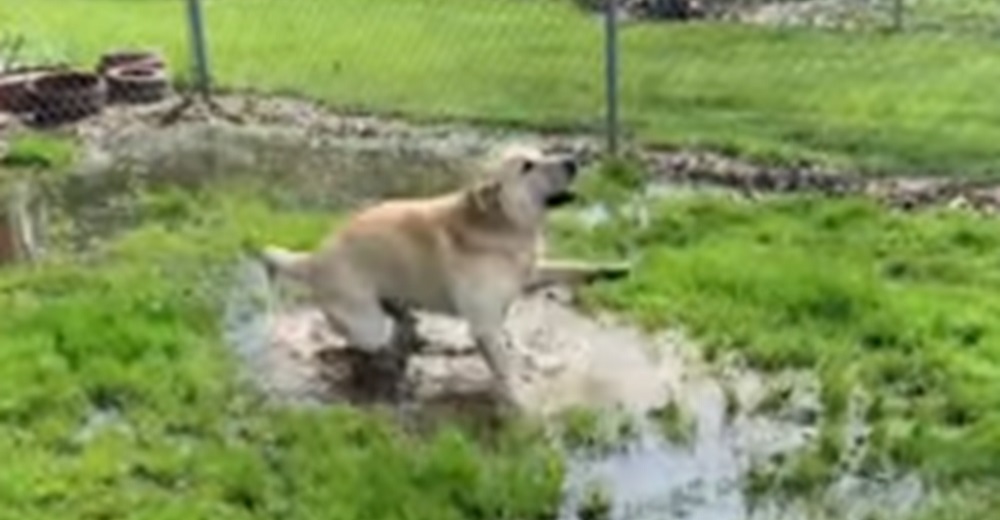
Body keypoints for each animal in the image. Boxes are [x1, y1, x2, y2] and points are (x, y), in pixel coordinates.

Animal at [258, 143, 628, 406]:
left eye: (542, 153)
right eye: (527, 166)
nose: (573, 160)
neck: (501, 225)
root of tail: (313, 258)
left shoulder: (530, 274)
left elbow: (574, 267)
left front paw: (615, 269)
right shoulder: (485, 324)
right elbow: (506, 368)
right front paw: (523, 400)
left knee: (402, 320)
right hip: (366, 324)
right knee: (362, 343)